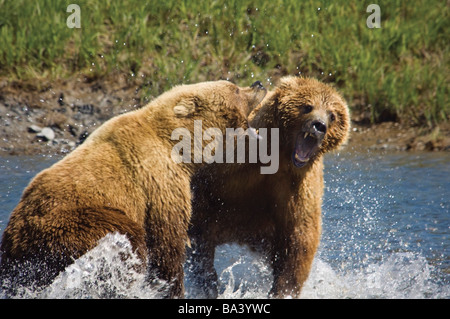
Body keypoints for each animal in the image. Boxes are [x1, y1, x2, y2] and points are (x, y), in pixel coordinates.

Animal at [0, 79, 266, 298]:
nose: (259, 84)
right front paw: (171, 287)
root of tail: (16, 236)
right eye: (234, 88)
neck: (182, 149)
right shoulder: (158, 180)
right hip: (71, 222)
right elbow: (167, 242)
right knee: (128, 237)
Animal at [188, 75, 350, 300]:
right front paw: (209, 281)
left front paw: (282, 290)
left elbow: (300, 239)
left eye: (332, 115)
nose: (319, 125)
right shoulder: (231, 165)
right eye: (307, 106)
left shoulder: (297, 186)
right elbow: (199, 220)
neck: (281, 155)